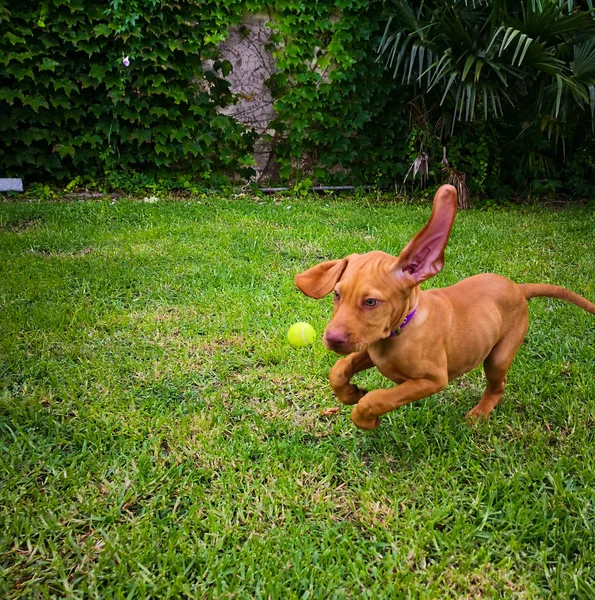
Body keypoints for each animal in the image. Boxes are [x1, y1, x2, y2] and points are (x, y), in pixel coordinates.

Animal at [296, 185, 595, 428]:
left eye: (371, 302)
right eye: (336, 294)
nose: (331, 339)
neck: (404, 327)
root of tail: (518, 288)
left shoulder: (432, 379)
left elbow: (379, 398)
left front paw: (365, 417)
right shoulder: (371, 348)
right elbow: (339, 368)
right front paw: (350, 393)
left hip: (499, 356)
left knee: (498, 385)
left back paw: (479, 414)